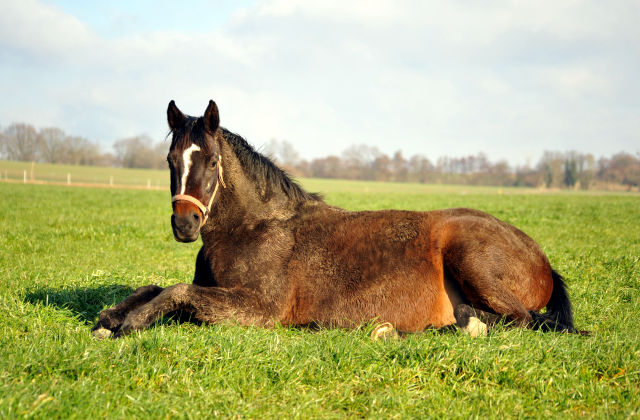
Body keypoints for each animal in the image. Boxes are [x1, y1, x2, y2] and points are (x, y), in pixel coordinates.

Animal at [94, 100, 580, 340]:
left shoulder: (259, 309)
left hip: (470, 258)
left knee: (518, 320)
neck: (252, 229)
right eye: (170, 159)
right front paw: (111, 316)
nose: (185, 224)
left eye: (212, 161)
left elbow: (177, 292)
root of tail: (541, 259)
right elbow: (154, 287)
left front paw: (129, 324)